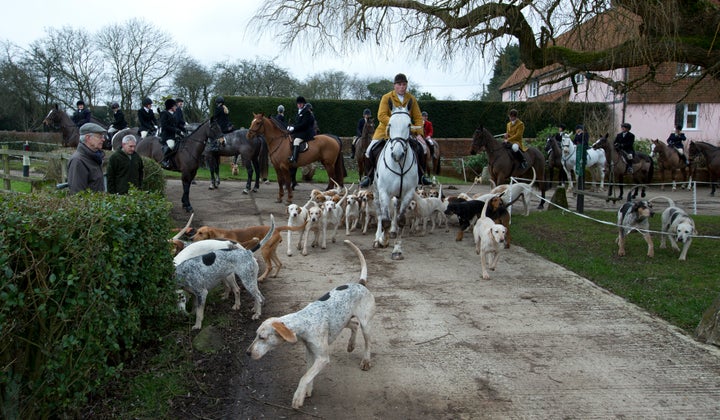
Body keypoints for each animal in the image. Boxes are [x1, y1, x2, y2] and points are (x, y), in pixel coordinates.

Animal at [374, 107, 420, 260]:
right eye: (390, 124)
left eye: (409, 125)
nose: (397, 154)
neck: (399, 165)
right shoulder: (383, 192)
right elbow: (385, 220)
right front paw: (383, 240)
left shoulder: (408, 193)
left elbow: (400, 219)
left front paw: (397, 250)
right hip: (376, 191)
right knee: (379, 213)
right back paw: (378, 237)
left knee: (395, 207)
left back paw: (392, 231)